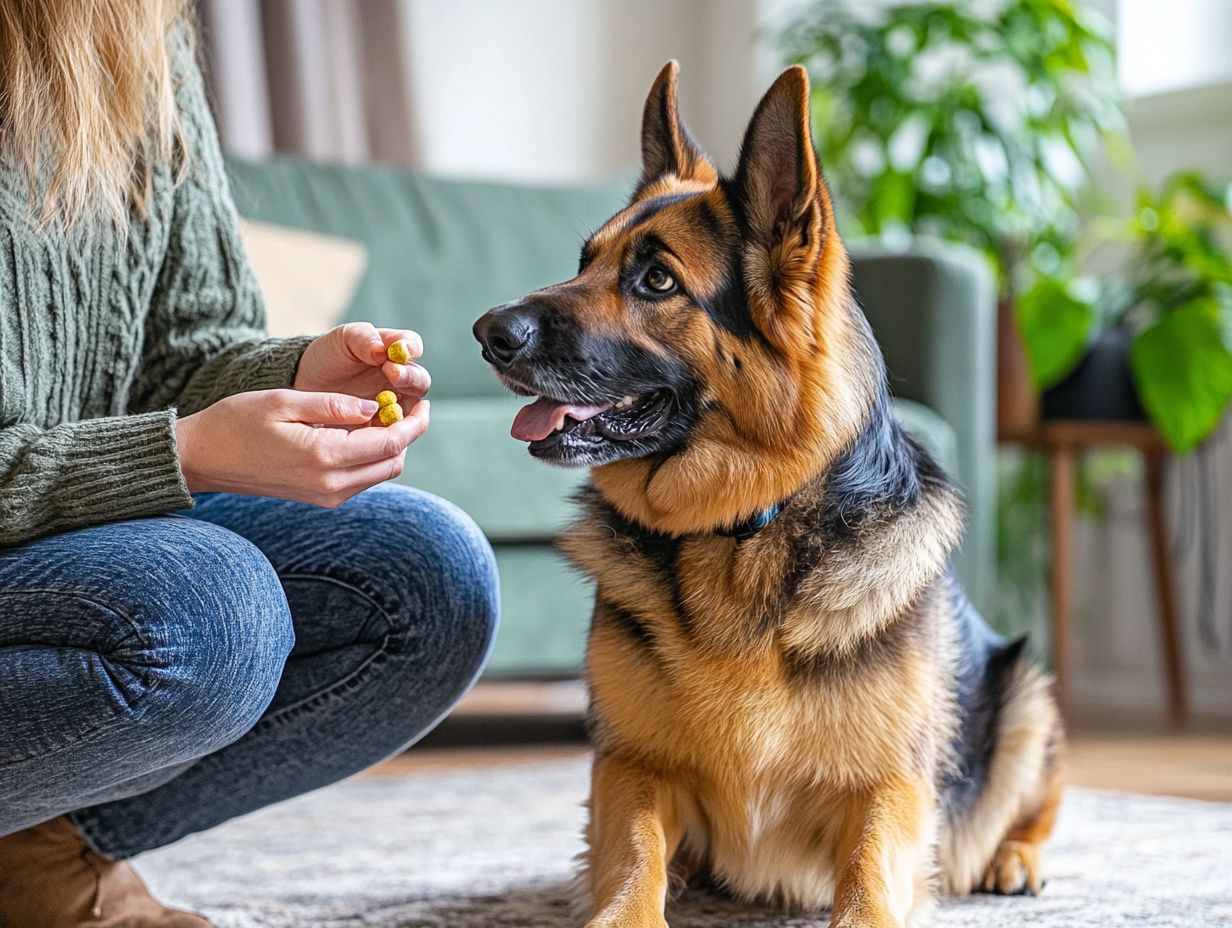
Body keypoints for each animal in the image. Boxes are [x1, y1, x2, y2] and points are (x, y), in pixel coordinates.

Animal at [475, 61, 1064, 921]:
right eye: (583, 262)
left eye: (656, 279)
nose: (487, 332)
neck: (741, 528)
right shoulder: (629, 769)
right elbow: (634, 858)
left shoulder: (890, 790)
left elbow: (868, 881)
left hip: (1022, 697)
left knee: (1026, 809)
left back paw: (1013, 859)